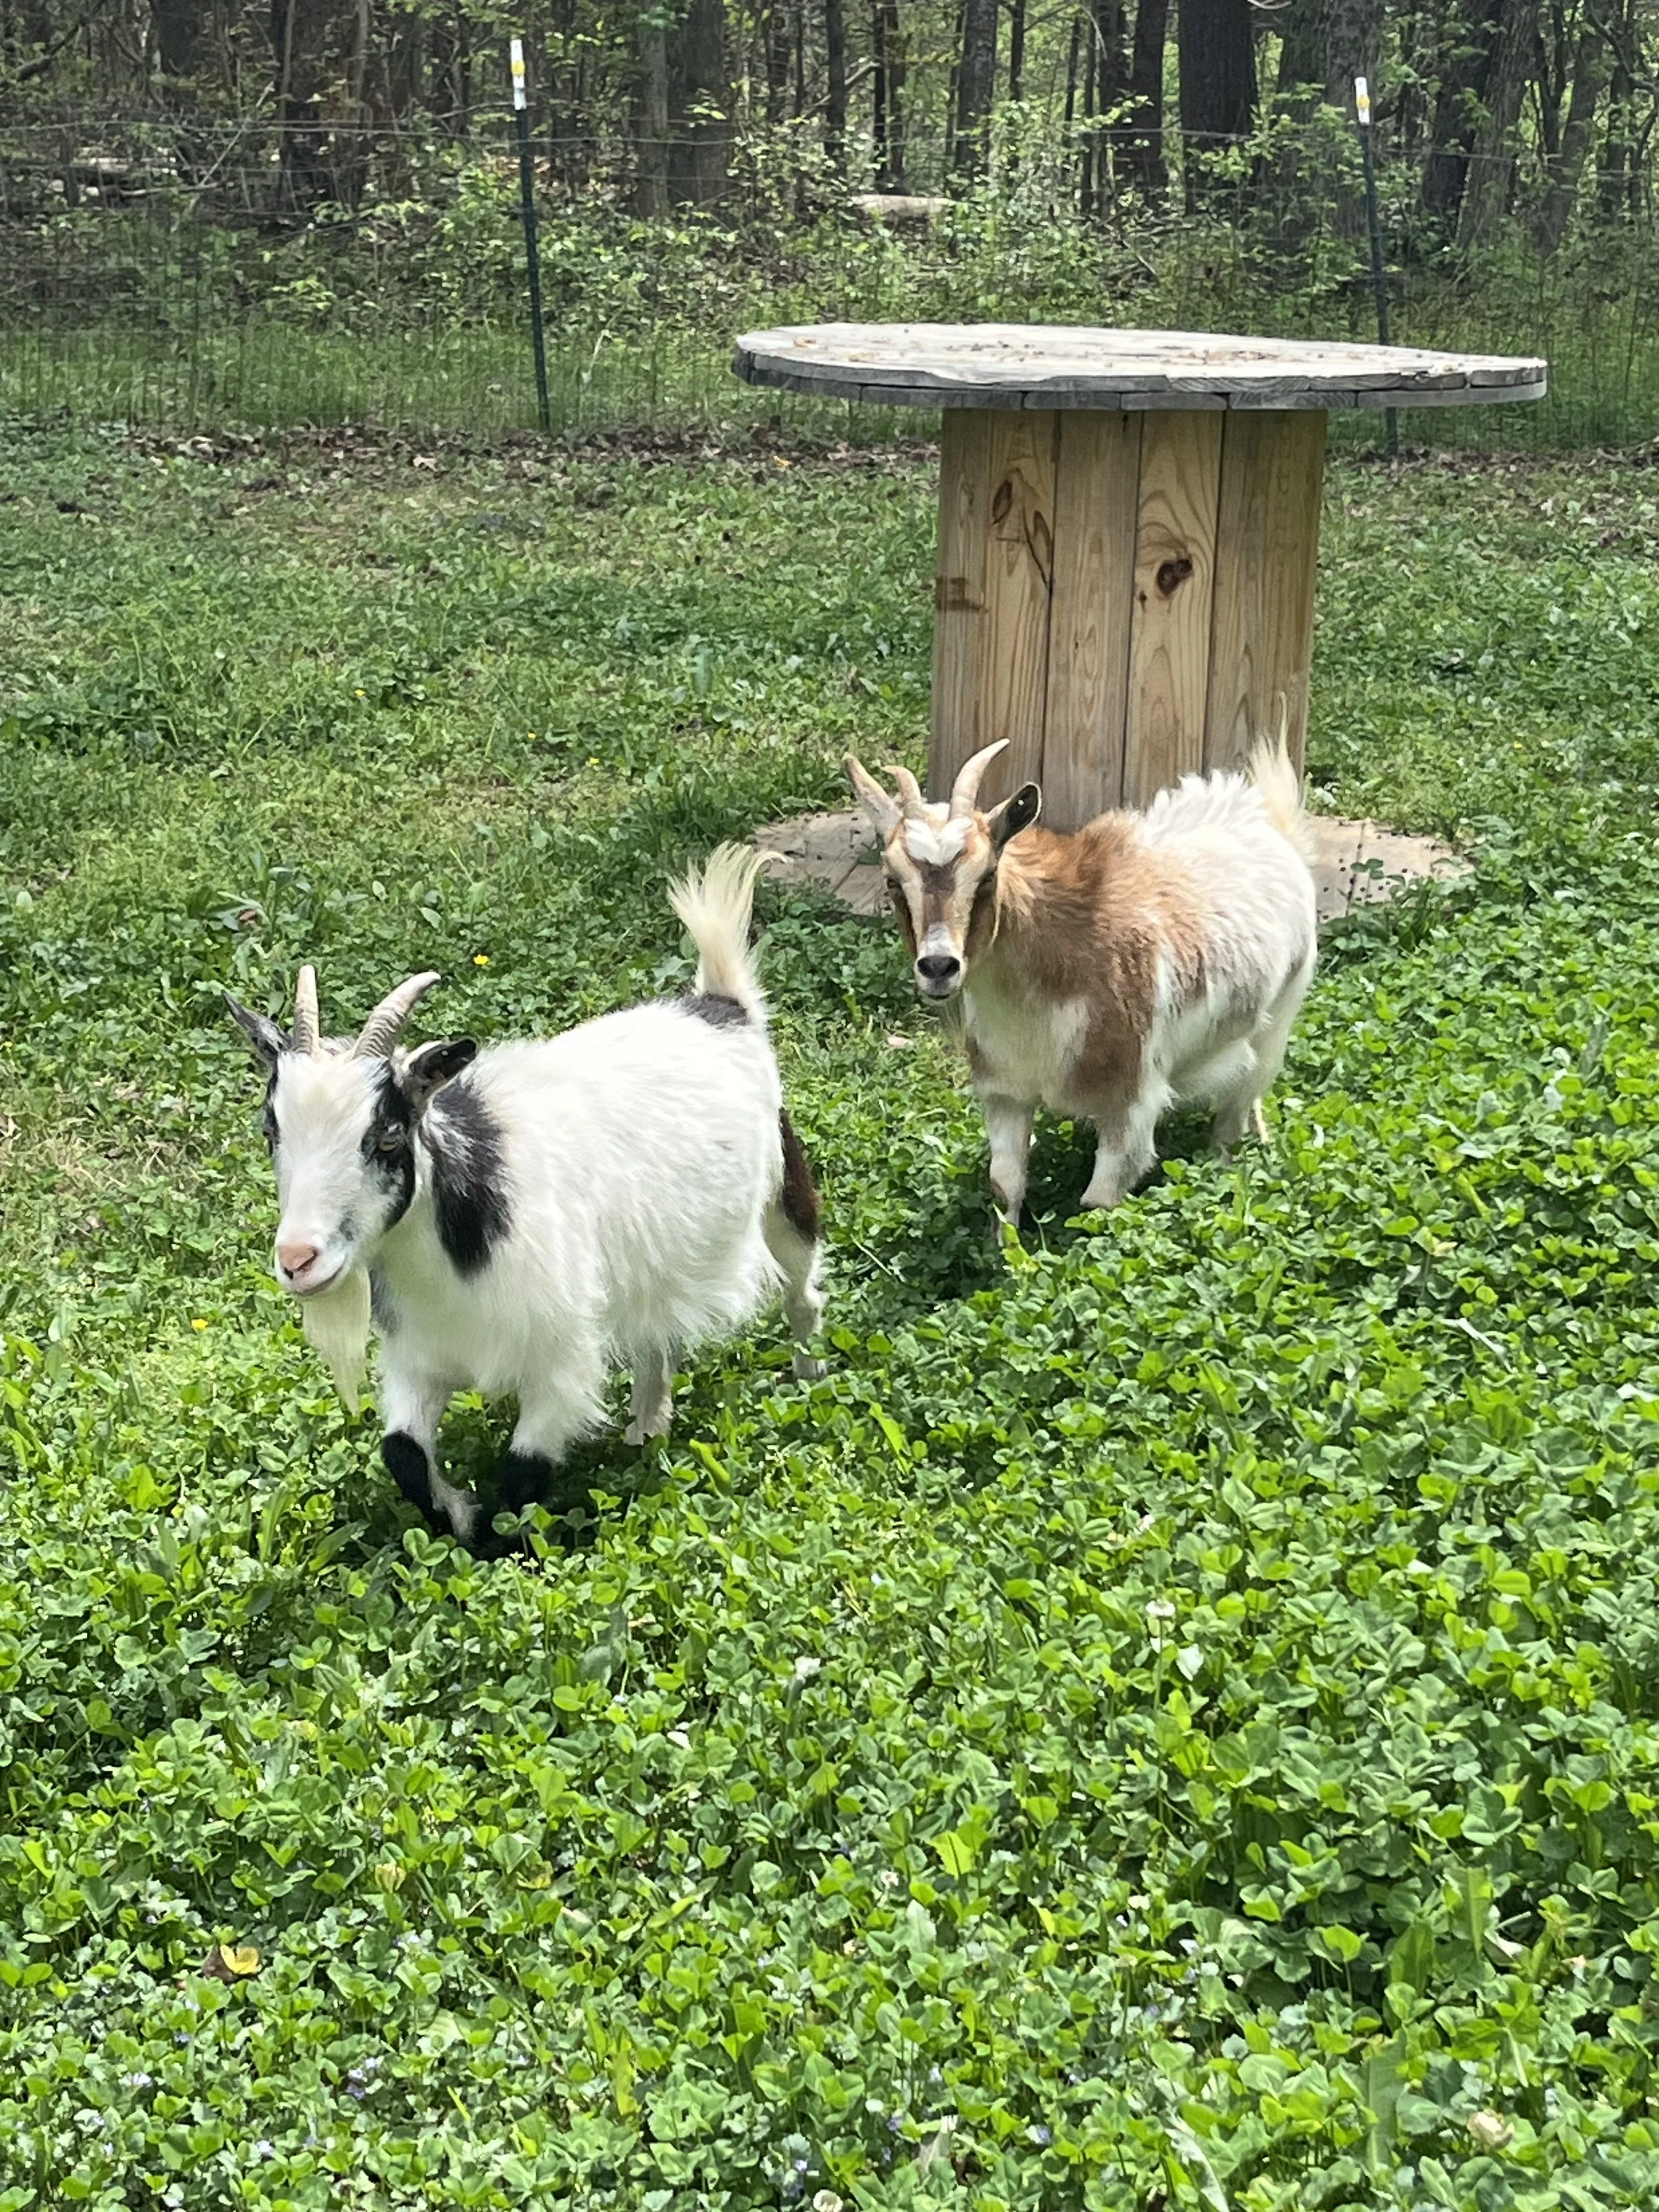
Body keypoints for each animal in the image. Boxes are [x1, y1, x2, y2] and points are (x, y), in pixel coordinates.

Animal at [227, 846, 825, 1552]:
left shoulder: (561, 1362)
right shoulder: (419, 1356)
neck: (474, 1228)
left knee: (801, 1288)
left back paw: (808, 1380)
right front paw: (457, 1515)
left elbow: (522, 1470)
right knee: (656, 1335)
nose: (298, 1260)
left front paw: (498, 1543)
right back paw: (647, 1424)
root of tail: (722, 1004)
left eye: (388, 1135)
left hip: (783, 1187)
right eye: (271, 1130)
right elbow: (402, 1451)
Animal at [846, 737, 1318, 1225]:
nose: (939, 966)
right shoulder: (1005, 1092)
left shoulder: (1130, 1103)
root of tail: (1267, 818)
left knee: (1238, 1105)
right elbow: (1004, 1188)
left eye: (988, 875)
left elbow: (1098, 1206)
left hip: (1281, 1014)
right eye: (892, 881)